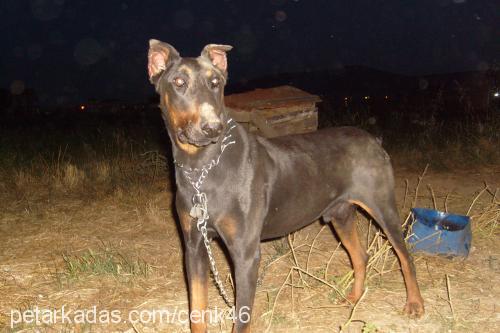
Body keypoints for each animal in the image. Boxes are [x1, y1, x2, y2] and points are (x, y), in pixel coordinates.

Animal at [146, 40, 424, 330]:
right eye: (178, 82)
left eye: (215, 83)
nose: (213, 127)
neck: (202, 168)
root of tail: (374, 140)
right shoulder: (194, 247)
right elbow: (197, 312)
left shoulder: (245, 253)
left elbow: (242, 317)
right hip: (340, 215)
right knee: (360, 256)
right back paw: (353, 298)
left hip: (382, 208)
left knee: (405, 256)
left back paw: (414, 303)